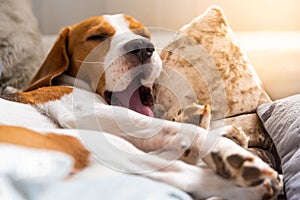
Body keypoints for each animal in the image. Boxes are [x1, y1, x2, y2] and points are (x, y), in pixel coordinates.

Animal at [0, 14, 282, 200]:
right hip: (88, 143)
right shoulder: (86, 113)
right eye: (96, 37)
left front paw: (223, 131)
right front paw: (224, 146)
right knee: (178, 172)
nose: (143, 48)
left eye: (144, 34)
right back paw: (248, 178)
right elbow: (179, 131)